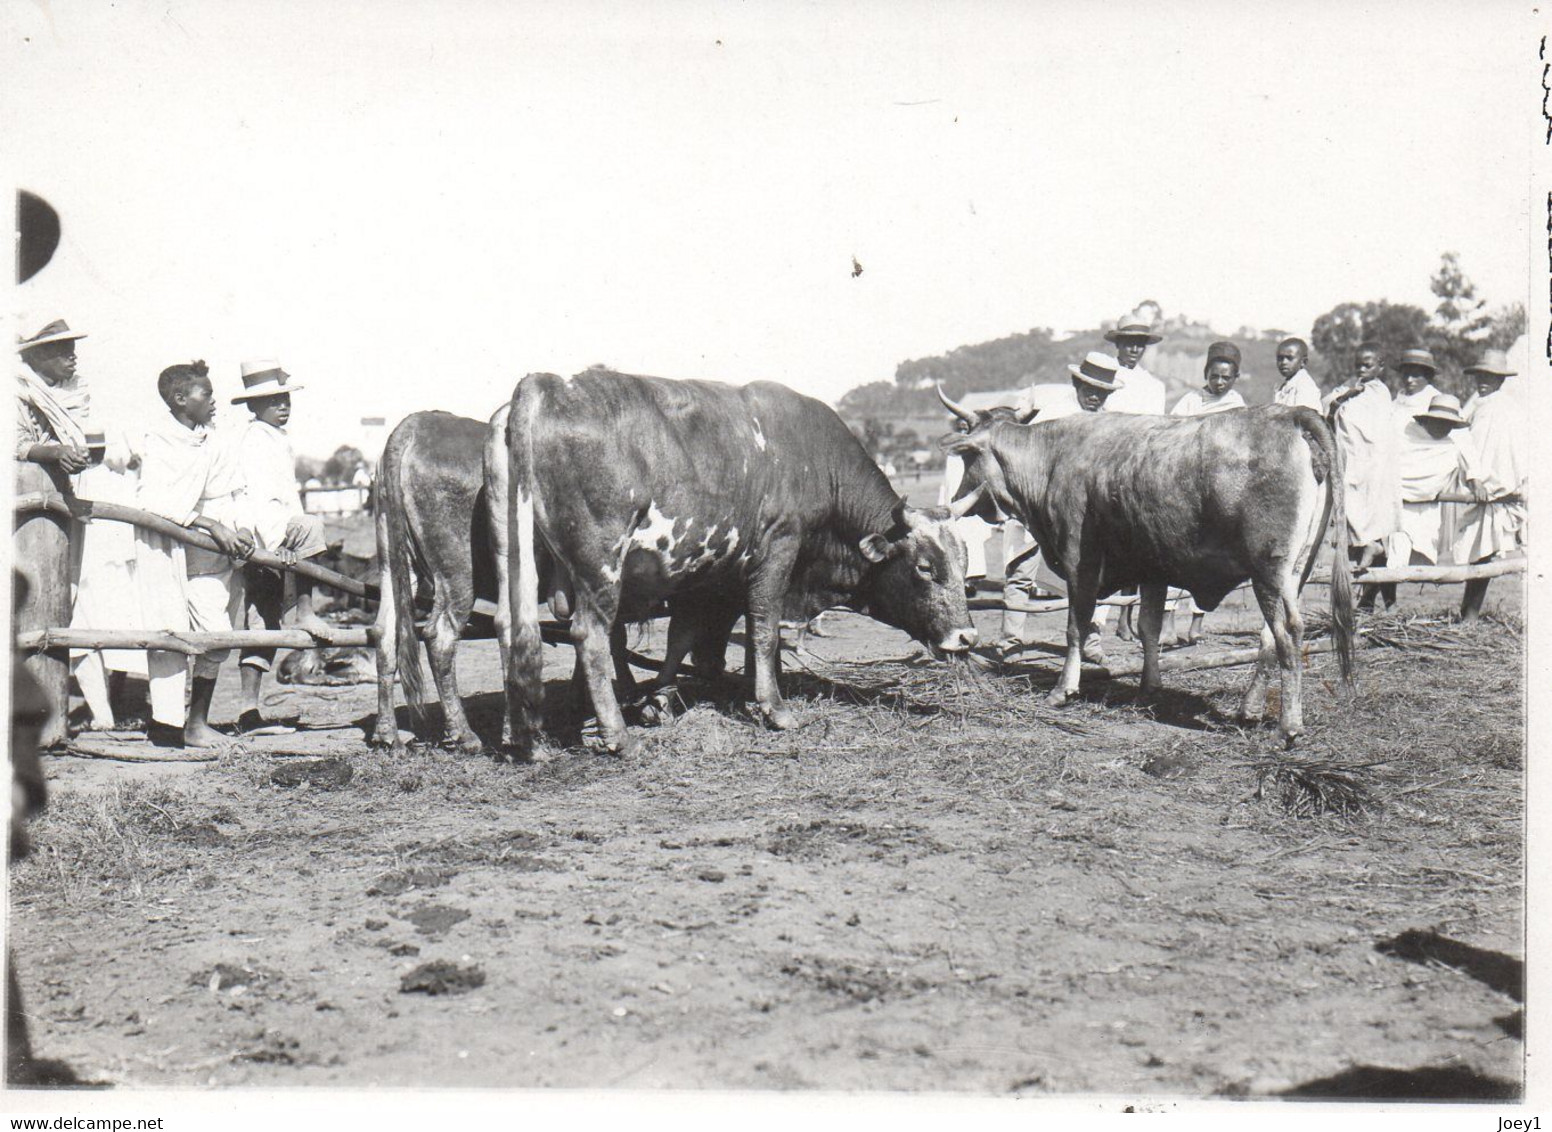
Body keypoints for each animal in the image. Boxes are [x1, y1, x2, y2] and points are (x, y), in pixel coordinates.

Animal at [499, 371, 980, 760]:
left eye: (964, 564)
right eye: (925, 567)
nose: (967, 637)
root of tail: (547, 384)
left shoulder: (716, 578)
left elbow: (688, 637)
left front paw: (668, 698)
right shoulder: (778, 549)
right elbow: (764, 629)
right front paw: (774, 707)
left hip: (516, 561)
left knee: (515, 631)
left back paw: (528, 735)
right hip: (600, 563)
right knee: (591, 635)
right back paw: (618, 736)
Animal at [937, 392, 1353, 745]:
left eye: (968, 457)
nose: (956, 499)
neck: (1052, 460)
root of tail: (1290, 414)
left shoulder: (1079, 563)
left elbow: (1076, 626)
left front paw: (1062, 690)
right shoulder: (1154, 569)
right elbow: (1148, 627)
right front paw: (1147, 688)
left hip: (1269, 569)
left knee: (1289, 632)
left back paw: (1288, 727)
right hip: (1294, 570)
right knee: (1270, 637)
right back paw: (1249, 709)